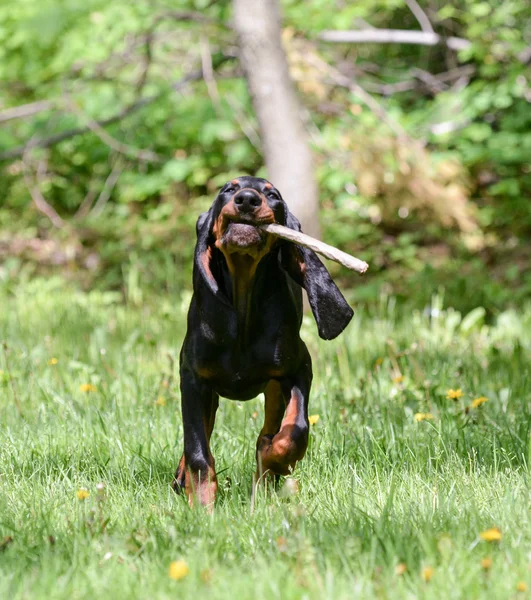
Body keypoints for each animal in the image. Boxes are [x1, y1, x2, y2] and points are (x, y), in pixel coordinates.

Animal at [174, 175, 354, 506]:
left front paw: (274, 460)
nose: (247, 199)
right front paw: (202, 504)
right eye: (228, 189)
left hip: (272, 387)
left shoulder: (299, 368)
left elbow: (295, 430)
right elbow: (197, 448)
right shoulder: (192, 378)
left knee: (270, 429)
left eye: (273, 195)